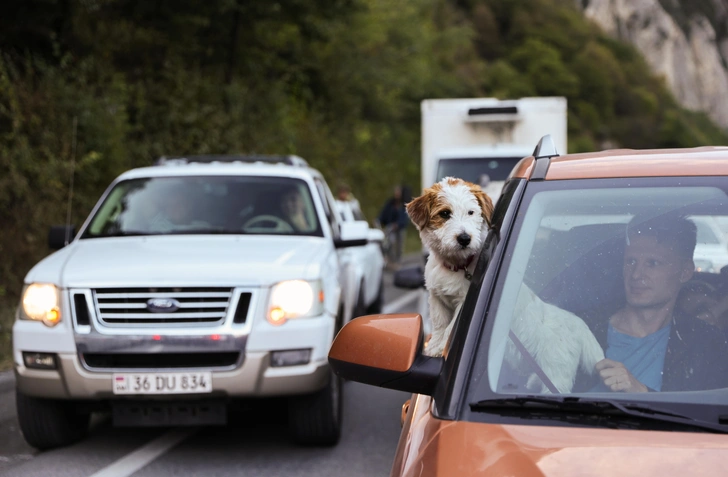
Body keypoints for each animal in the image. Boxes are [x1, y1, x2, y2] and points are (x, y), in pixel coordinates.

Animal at [406, 177, 492, 356]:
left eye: (471, 212)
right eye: (445, 213)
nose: (465, 238)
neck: (454, 264)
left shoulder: (463, 301)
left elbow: (451, 328)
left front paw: (441, 347)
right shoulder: (436, 297)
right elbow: (440, 323)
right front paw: (433, 346)